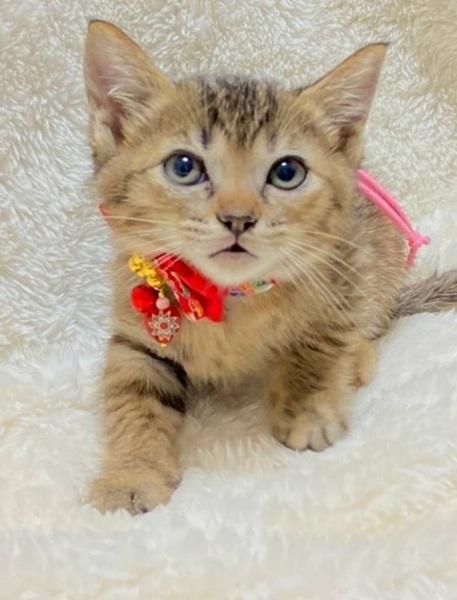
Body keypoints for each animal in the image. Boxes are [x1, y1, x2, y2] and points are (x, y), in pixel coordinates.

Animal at [84, 20, 457, 514]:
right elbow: (133, 397)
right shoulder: (136, 334)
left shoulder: (343, 274)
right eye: (183, 166)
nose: (238, 218)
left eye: (286, 172)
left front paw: (306, 411)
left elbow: (318, 347)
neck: (230, 297)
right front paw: (131, 474)